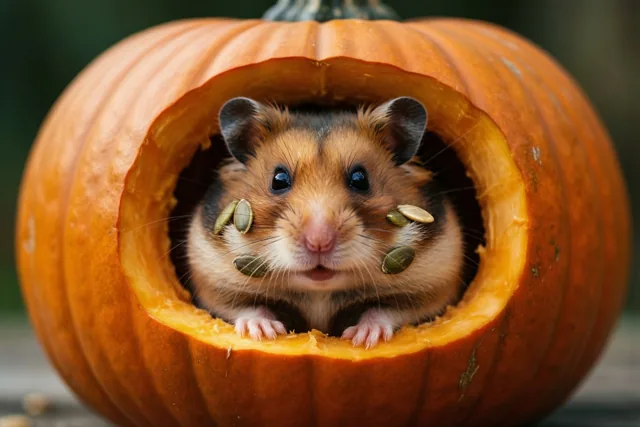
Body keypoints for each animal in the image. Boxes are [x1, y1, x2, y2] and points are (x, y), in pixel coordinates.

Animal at [186, 96, 465, 348]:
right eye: (278, 179)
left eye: (360, 179)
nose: (318, 242)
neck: (319, 292)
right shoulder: (214, 280)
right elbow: (247, 308)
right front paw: (265, 332)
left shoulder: (430, 285)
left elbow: (385, 311)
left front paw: (362, 338)